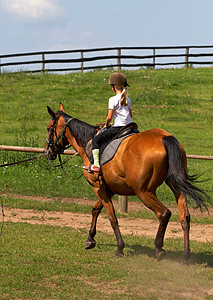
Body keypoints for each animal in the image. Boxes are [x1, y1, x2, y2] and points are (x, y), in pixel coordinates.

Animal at [45, 103, 210, 262]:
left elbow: (112, 217)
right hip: (175, 185)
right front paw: (90, 239)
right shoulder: (109, 189)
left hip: (144, 192)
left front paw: (119, 248)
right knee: (185, 216)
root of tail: (164, 137)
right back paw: (185, 255)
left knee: (164, 213)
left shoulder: (99, 188)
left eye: (48, 129)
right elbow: (95, 209)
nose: (47, 152)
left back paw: (159, 249)